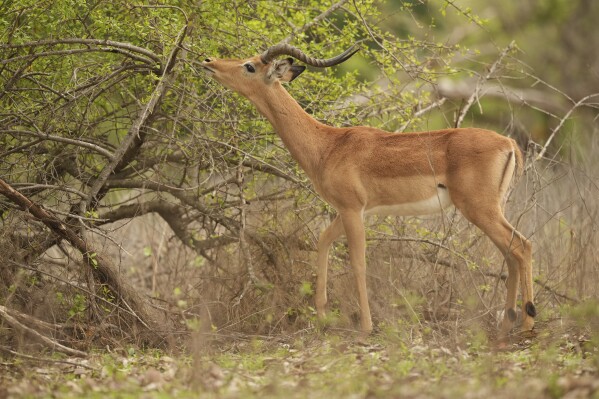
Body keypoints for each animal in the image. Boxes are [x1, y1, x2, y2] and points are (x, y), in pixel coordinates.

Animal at [204, 43, 536, 338]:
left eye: (249, 65)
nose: (208, 60)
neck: (327, 146)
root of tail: (508, 143)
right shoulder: (346, 211)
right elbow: (323, 242)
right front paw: (322, 318)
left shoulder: (352, 210)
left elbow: (358, 263)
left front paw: (365, 327)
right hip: (490, 210)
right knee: (511, 254)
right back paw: (506, 325)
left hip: (479, 209)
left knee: (521, 246)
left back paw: (527, 324)